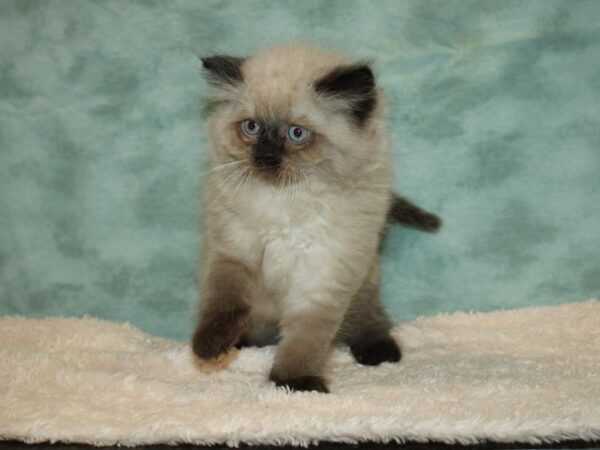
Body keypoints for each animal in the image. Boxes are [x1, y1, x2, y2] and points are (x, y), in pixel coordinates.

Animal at [192, 44, 440, 392]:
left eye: (297, 133)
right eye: (252, 127)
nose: (266, 156)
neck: (287, 200)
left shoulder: (323, 275)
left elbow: (305, 340)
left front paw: (294, 383)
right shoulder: (232, 251)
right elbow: (222, 305)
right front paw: (210, 349)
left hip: (363, 287)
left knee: (371, 321)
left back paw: (381, 353)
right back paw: (239, 345)